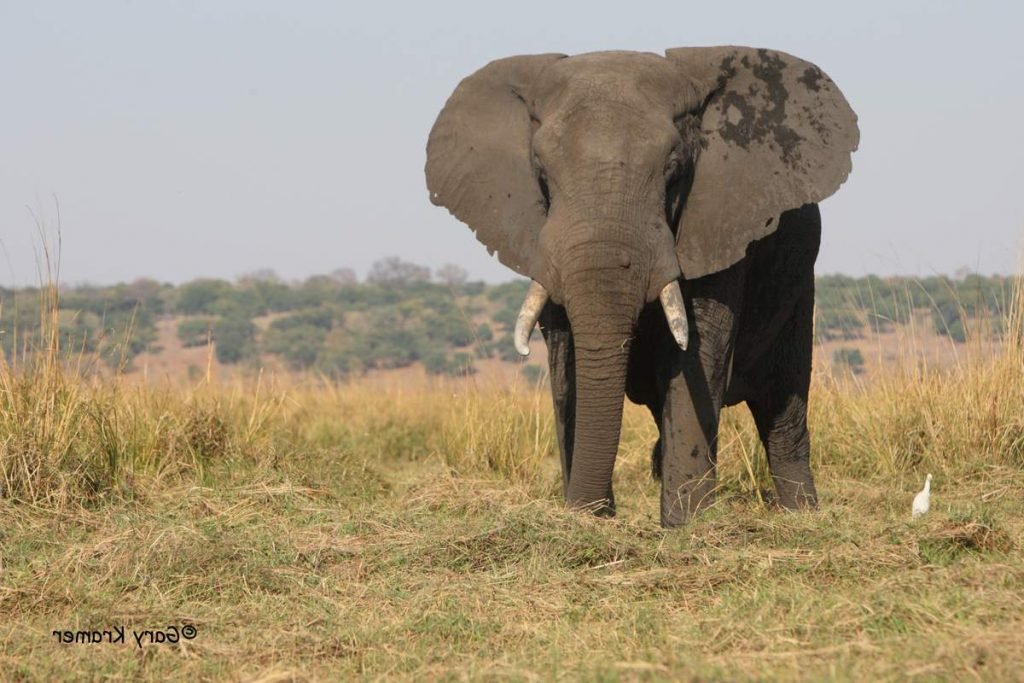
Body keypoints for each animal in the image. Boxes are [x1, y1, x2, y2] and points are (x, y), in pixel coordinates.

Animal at [423, 46, 856, 528]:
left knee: (782, 404)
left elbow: (695, 354)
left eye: (674, 168)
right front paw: (588, 516)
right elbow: (567, 363)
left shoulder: (718, 221)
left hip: (799, 279)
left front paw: (687, 525)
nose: (590, 511)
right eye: (541, 172)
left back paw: (802, 516)